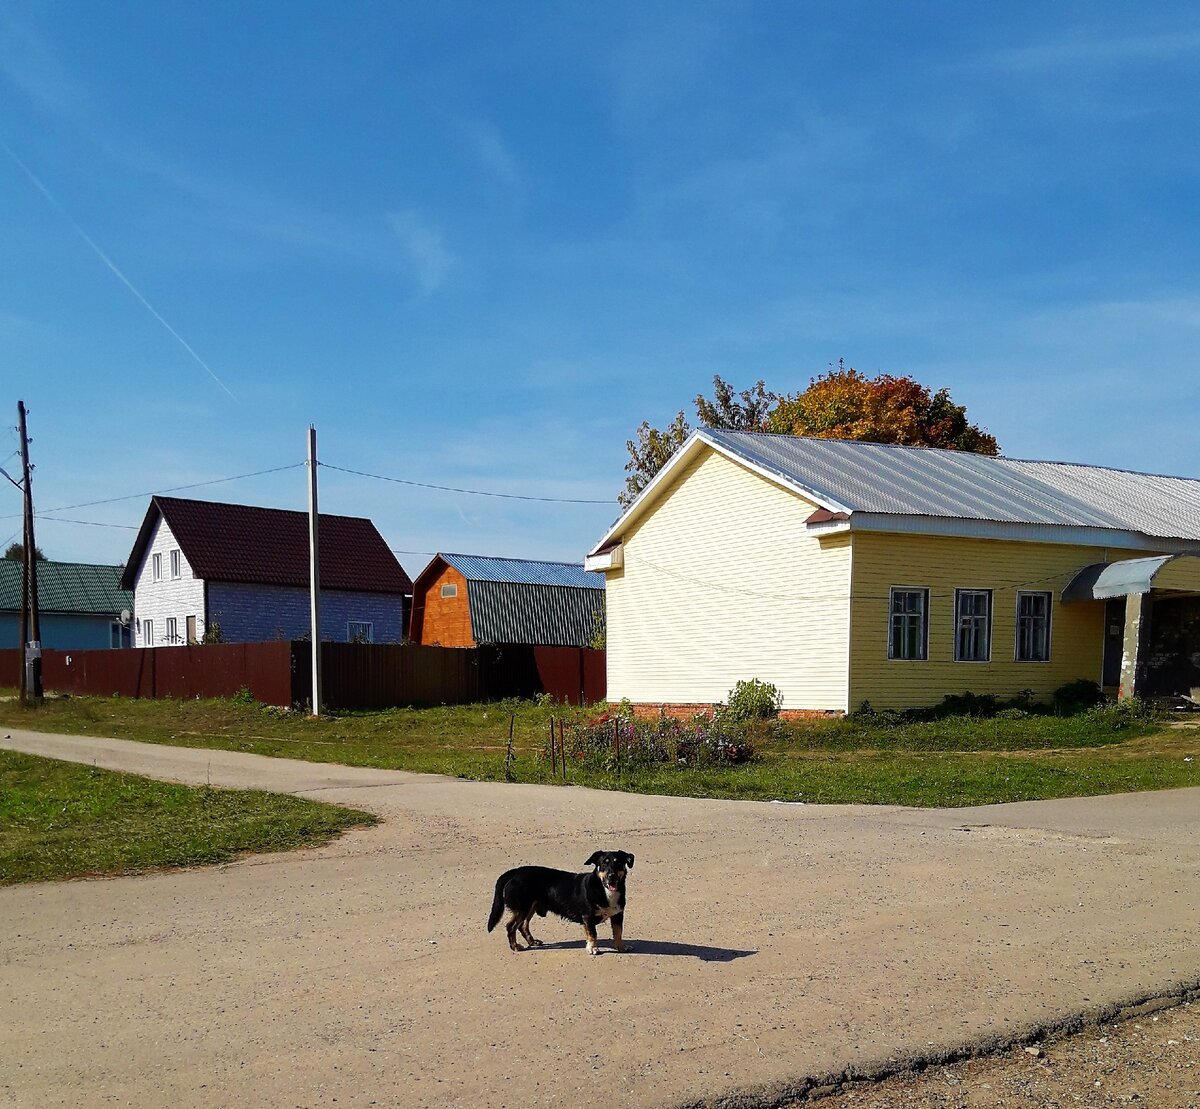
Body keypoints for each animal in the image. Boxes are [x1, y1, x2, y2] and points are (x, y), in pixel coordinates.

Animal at [487, 849, 638, 955]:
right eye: (603, 864)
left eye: (619, 863)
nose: (612, 876)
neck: (604, 889)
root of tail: (515, 872)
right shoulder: (588, 917)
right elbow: (593, 934)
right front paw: (592, 949)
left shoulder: (618, 915)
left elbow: (618, 932)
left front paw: (621, 947)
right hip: (523, 908)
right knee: (511, 926)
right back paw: (515, 946)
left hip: (531, 907)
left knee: (523, 926)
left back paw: (532, 941)